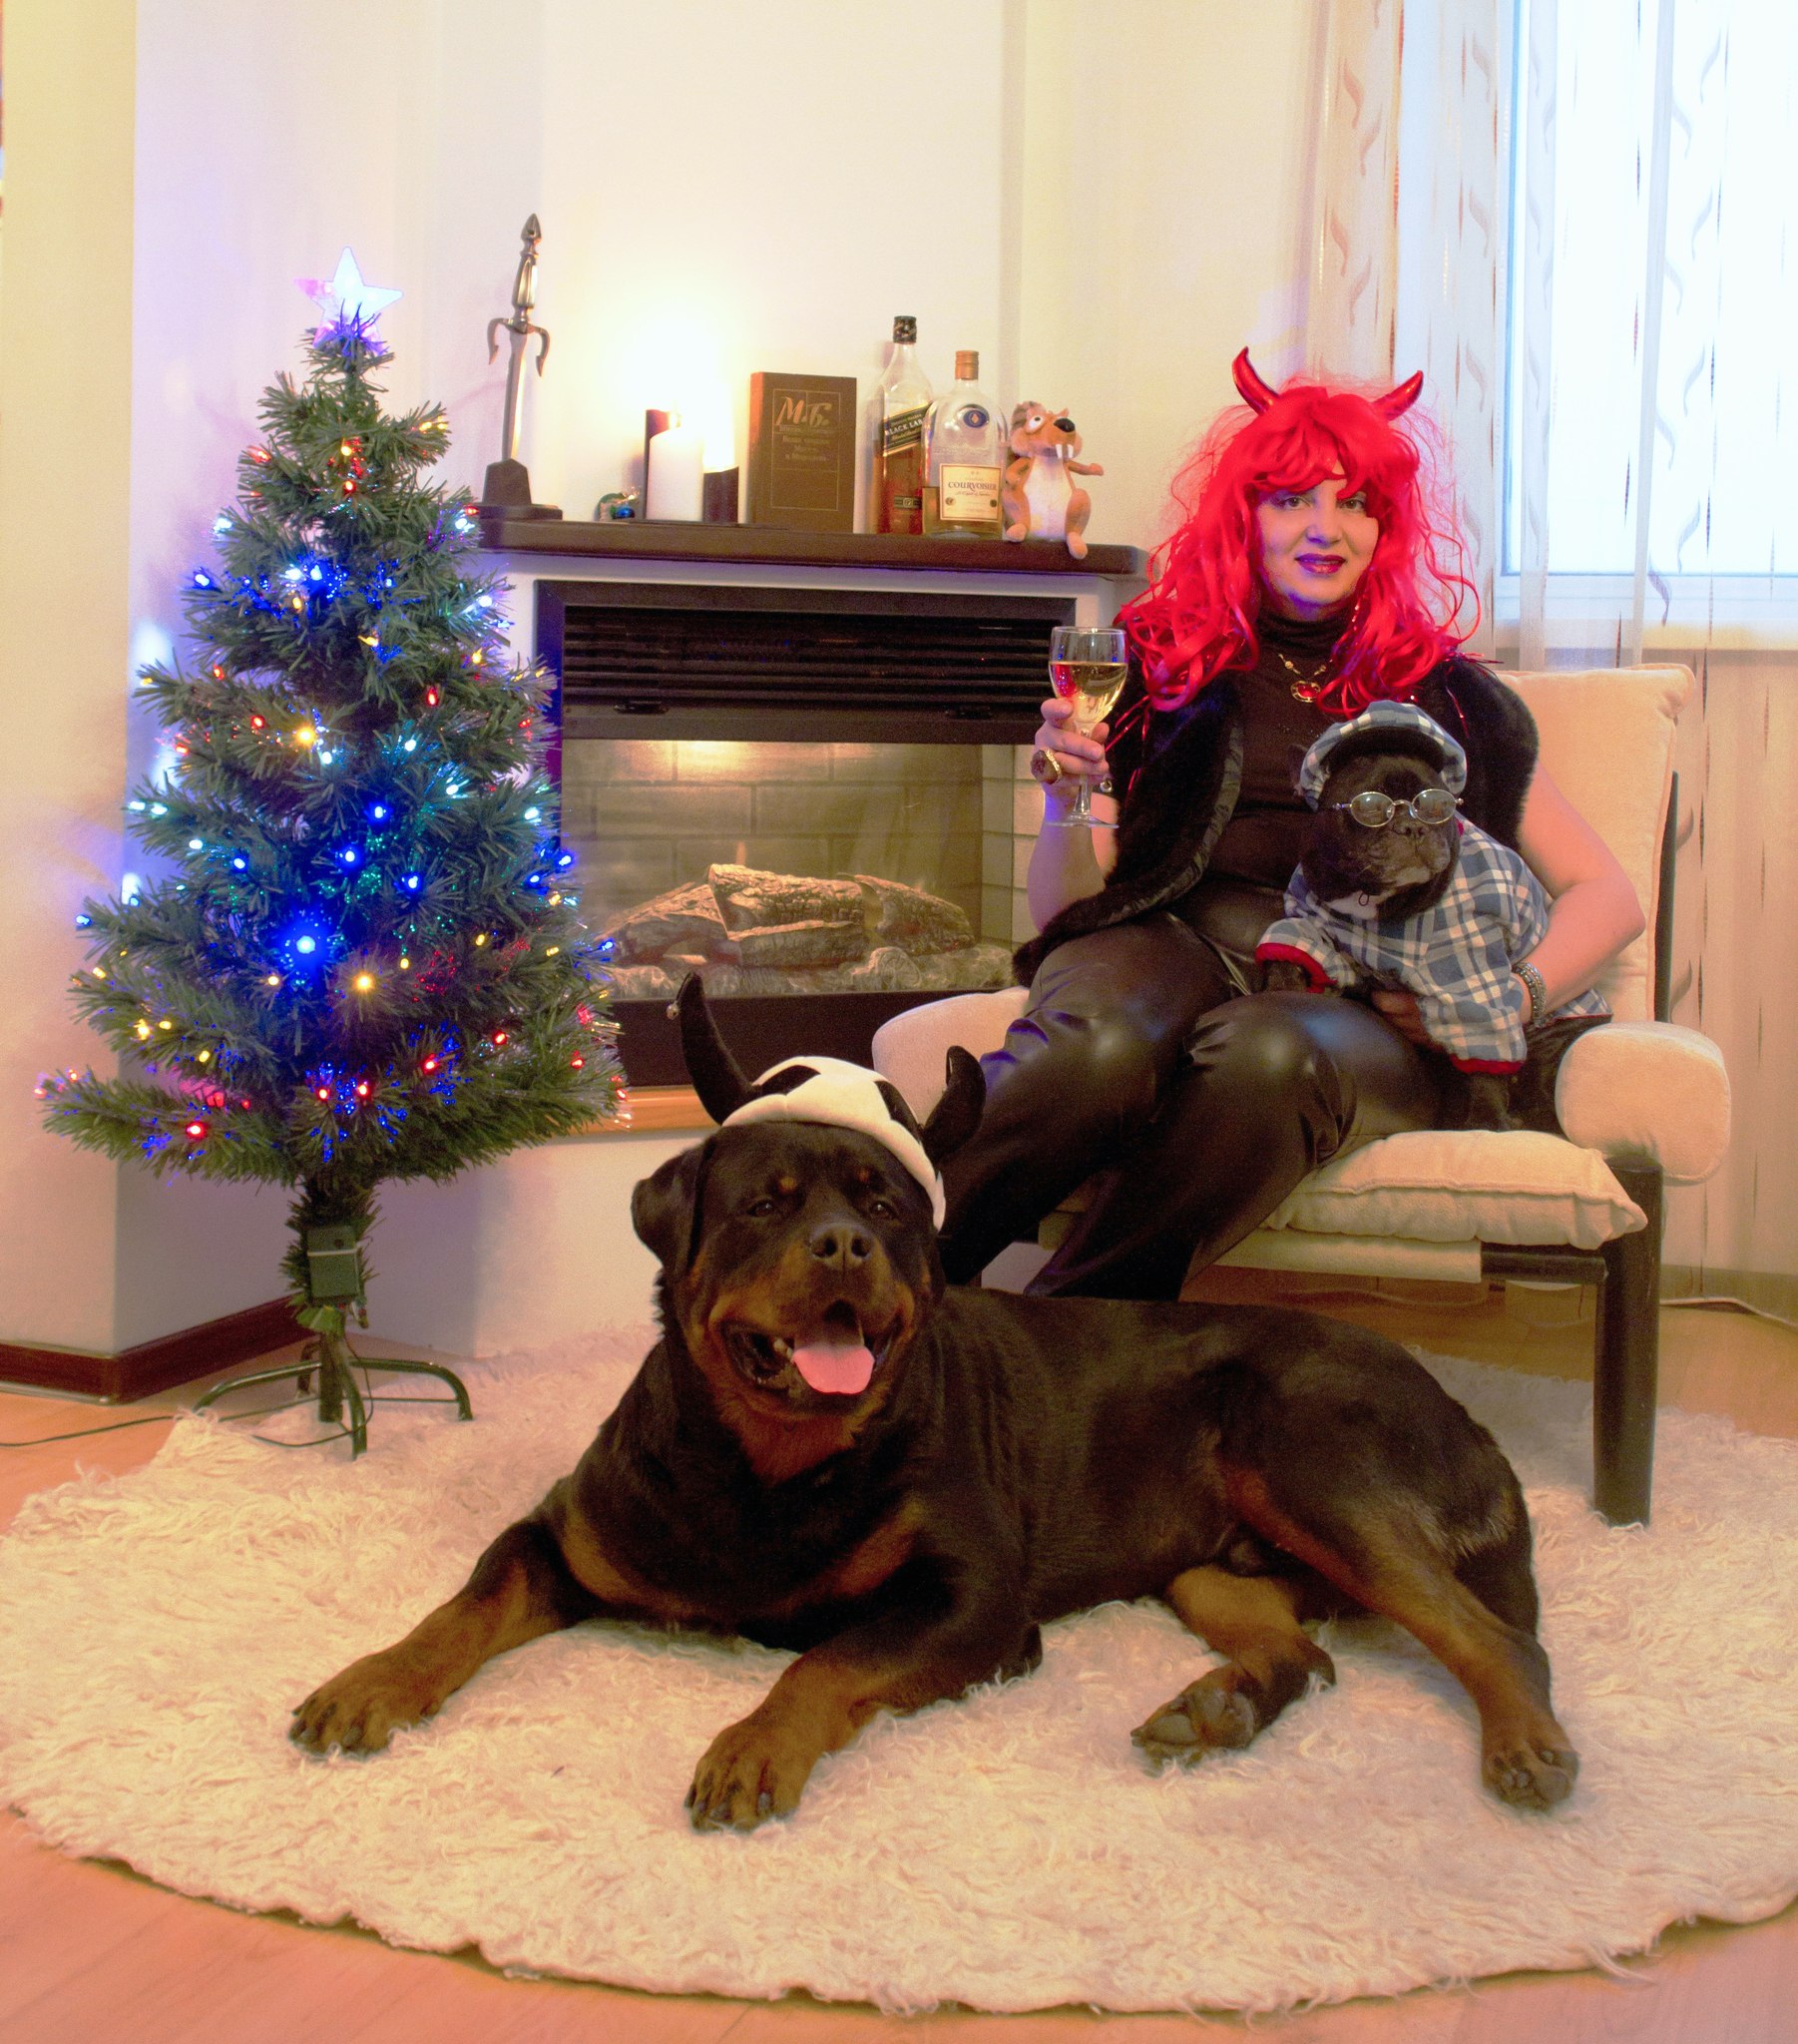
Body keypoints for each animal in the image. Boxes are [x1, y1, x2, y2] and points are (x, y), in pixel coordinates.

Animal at [290, 979, 1577, 1828]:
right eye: (765, 1200)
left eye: (885, 1204)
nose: (844, 1244)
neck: (765, 1464)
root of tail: (1461, 1408)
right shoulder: (564, 1535)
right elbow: (460, 1604)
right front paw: (367, 1681)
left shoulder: (969, 1596)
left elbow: (824, 1658)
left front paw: (752, 1746)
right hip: (1211, 1562)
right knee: (1299, 1650)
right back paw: (1211, 1707)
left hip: (1312, 1457)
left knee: (1487, 1629)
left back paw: (1523, 1743)